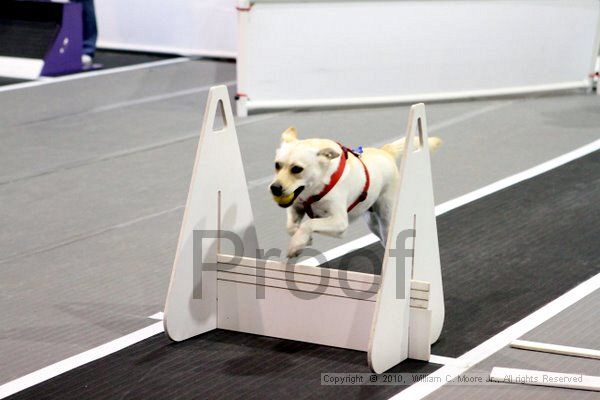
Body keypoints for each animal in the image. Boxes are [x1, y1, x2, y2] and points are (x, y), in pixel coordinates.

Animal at [272, 129, 440, 260]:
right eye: (277, 165)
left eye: (297, 169)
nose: (274, 188)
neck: (314, 188)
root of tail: (385, 152)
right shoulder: (297, 205)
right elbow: (291, 227)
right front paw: (304, 241)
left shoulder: (339, 222)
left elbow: (309, 224)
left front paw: (296, 244)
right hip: (372, 223)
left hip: (387, 220)